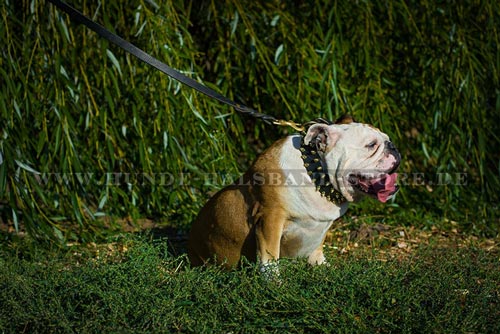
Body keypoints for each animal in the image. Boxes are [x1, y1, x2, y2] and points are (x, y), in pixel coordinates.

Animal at [188, 115, 402, 272]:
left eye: (387, 140)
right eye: (371, 145)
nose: (393, 146)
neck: (317, 174)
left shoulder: (321, 226)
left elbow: (317, 247)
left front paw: (322, 267)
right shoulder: (269, 218)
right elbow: (269, 256)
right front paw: (274, 284)